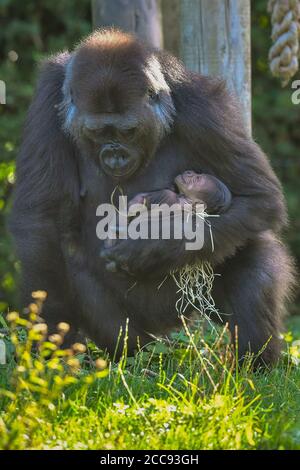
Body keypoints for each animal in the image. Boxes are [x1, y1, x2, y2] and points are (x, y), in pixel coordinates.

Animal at [8, 29, 292, 366]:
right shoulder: (48, 94)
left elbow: (258, 198)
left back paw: (255, 364)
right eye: (99, 132)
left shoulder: (206, 103)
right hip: (135, 337)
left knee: (253, 249)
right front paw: (52, 336)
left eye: (128, 131)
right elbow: (42, 220)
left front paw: (151, 249)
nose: (116, 155)